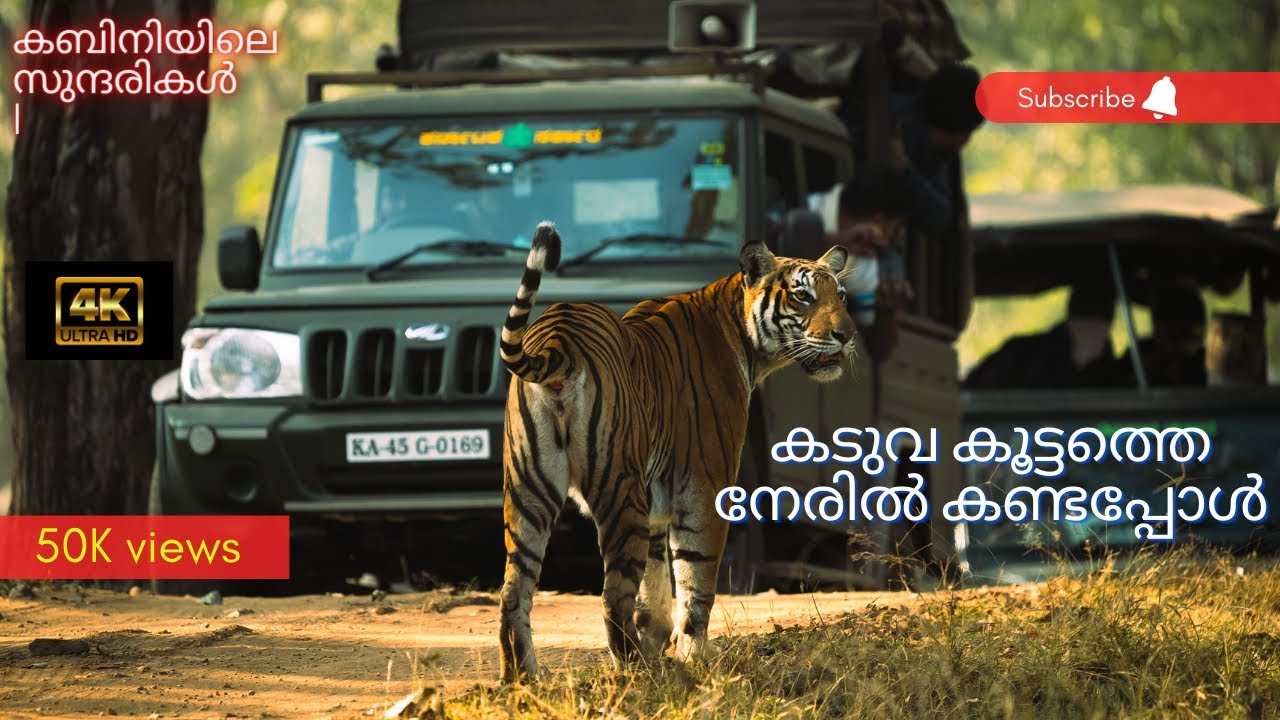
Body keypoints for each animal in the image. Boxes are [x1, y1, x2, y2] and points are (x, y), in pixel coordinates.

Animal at [498, 220, 857, 682]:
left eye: (840, 296)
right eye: (802, 296)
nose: (847, 336)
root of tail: (557, 338)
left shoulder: (657, 504)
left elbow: (654, 587)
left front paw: (660, 644)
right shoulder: (706, 485)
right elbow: (695, 576)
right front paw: (694, 656)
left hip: (528, 493)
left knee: (514, 591)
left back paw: (521, 680)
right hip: (619, 491)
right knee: (612, 598)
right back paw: (637, 673)